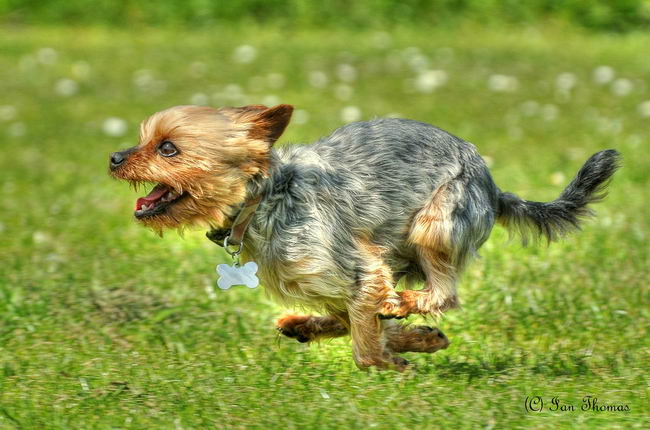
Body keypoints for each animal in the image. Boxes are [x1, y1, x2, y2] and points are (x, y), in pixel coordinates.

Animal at [109, 103, 620, 370]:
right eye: (142, 140)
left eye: (168, 148)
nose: (114, 157)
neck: (263, 200)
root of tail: (494, 188)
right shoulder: (342, 285)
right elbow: (357, 322)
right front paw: (417, 341)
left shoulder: (361, 270)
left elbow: (365, 347)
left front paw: (391, 358)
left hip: (436, 223)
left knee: (443, 291)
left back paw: (408, 304)